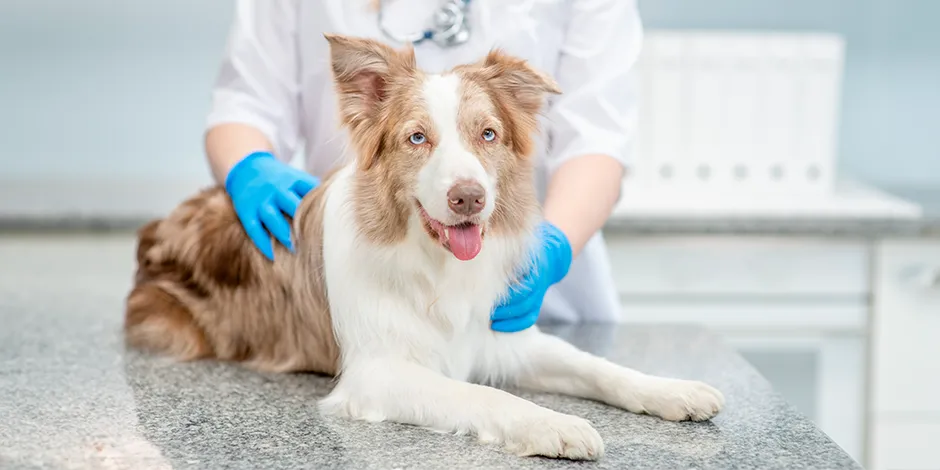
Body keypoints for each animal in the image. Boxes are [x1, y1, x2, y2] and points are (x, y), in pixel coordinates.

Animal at [125, 35, 724, 460]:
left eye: (488, 134)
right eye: (417, 138)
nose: (469, 198)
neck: (436, 268)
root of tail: (156, 229)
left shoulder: (505, 338)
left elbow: (598, 366)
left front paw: (674, 390)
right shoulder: (377, 373)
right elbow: (485, 395)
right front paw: (553, 423)